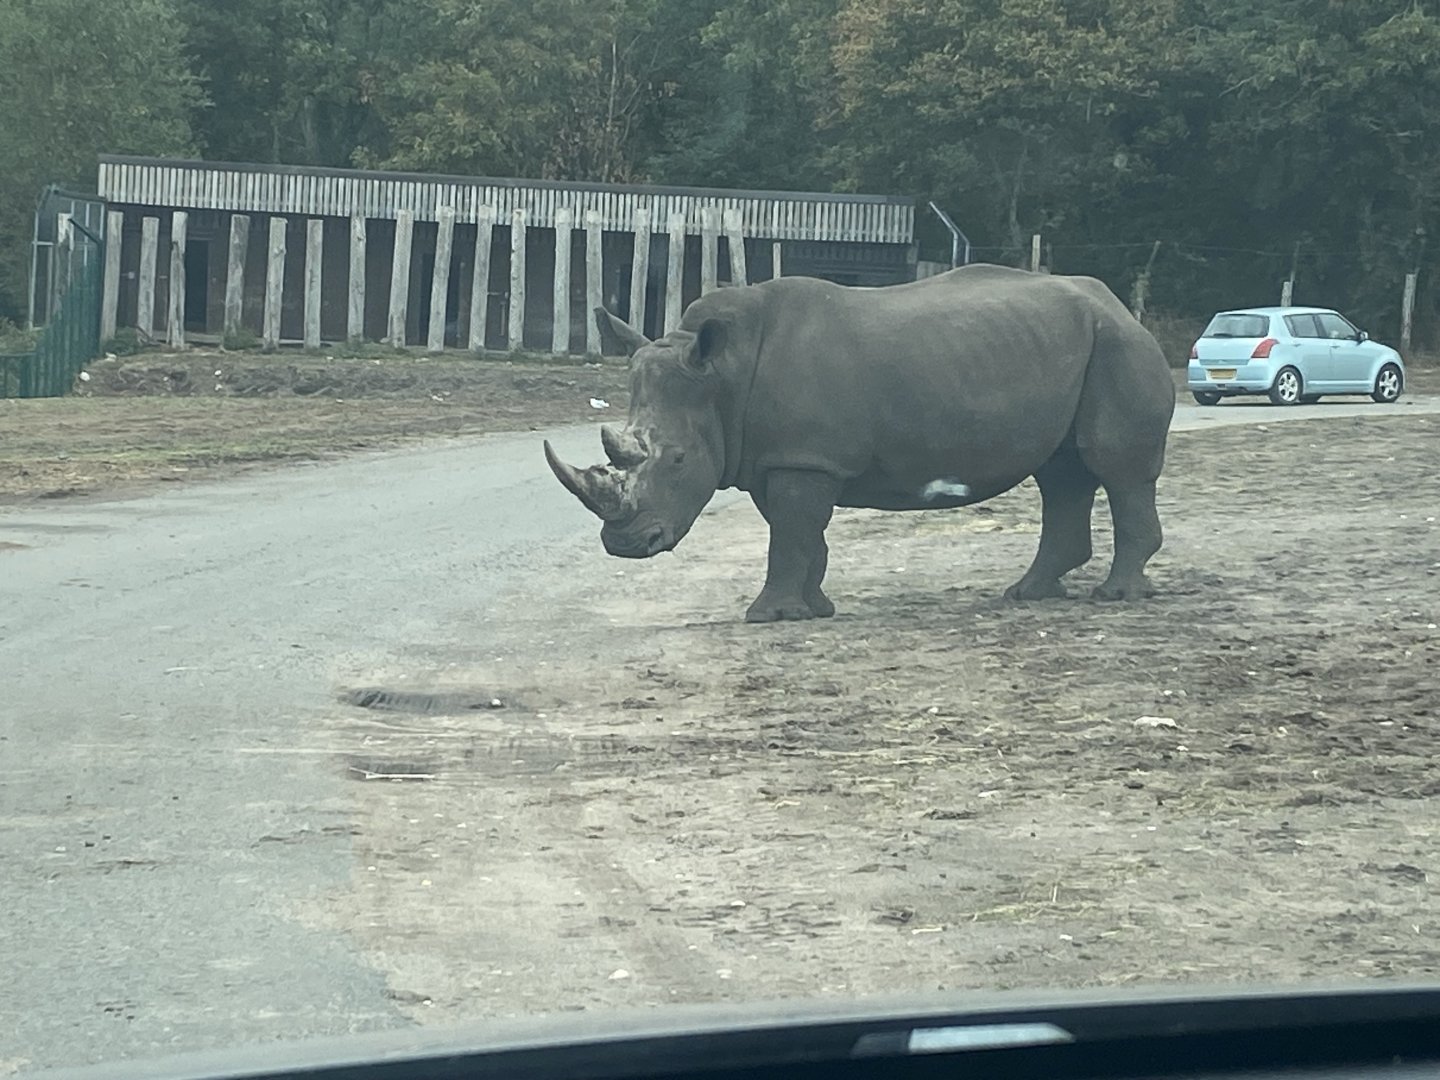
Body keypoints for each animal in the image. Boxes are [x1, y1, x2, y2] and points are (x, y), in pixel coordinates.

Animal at [544, 264, 1176, 622]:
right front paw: (814, 609)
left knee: (1114, 468)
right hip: (1073, 345)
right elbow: (798, 534)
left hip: (1118, 346)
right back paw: (1026, 596)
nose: (626, 546)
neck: (720, 376)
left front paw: (768, 617)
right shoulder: (783, 458)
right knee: (1061, 472)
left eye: (677, 459)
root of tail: (1122, 307)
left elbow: (791, 533)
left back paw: (1116, 598)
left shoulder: (804, 459)